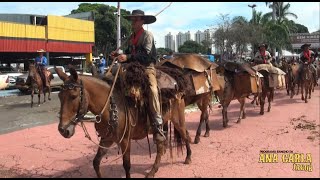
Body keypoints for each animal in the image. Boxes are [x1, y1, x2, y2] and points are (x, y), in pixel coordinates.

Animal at [54, 63, 192, 177]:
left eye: (73, 96)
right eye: (59, 96)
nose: (63, 130)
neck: (110, 107)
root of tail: (177, 86)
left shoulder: (125, 140)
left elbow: (126, 165)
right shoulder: (107, 139)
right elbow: (96, 162)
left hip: (178, 120)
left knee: (185, 135)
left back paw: (188, 158)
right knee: (161, 144)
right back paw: (153, 171)